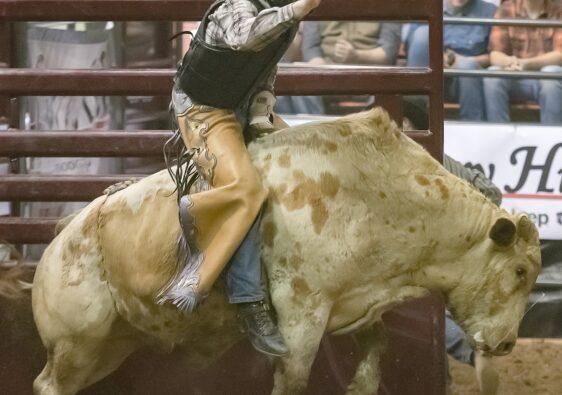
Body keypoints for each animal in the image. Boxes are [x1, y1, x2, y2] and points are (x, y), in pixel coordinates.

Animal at [30, 109, 540, 395]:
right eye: (518, 272)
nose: (507, 344)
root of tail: (63, 235)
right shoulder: (301, 311)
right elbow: (293, 378)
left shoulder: (357, 301)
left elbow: (376, 347)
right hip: (77, 342)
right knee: (49, 384)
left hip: (110, 344)